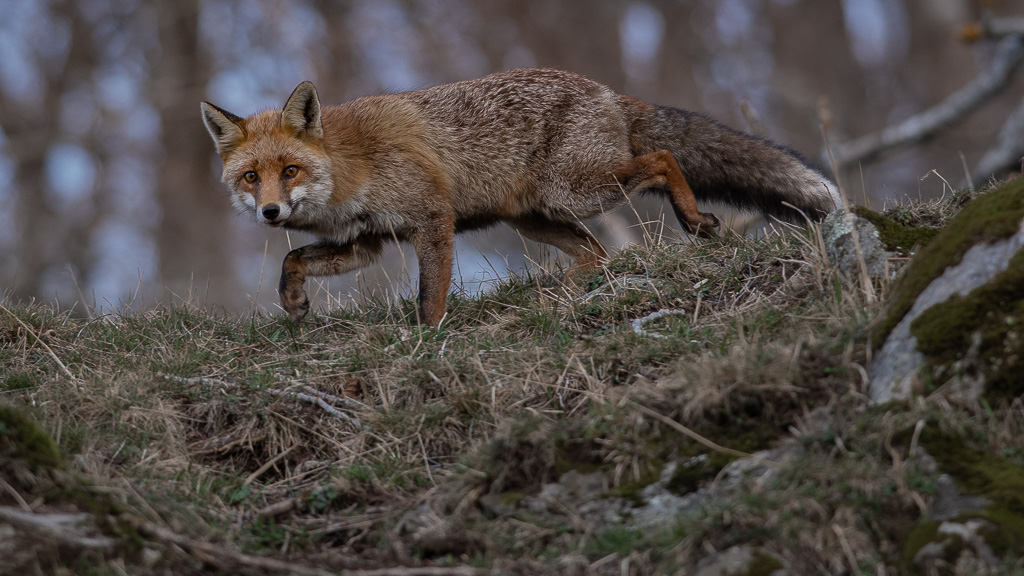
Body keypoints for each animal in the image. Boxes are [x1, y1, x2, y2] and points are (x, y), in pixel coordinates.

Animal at [201, 68, 839, 323]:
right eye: (251, 178)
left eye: (289, 169)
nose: (270, 211)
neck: (348, 170)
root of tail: (607, 91)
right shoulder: (367, 242)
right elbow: (293, 258)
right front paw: (292, 302)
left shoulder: (431, 217)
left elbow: (430, 296)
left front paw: (427, 339)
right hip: (538, 217)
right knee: (596, 254)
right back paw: (557, 294)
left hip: (576, 191)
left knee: (661, 159)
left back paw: (695, 220)